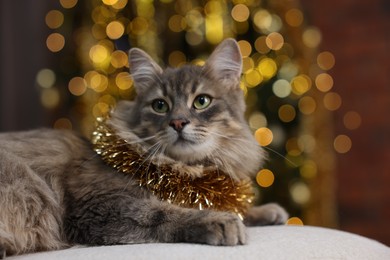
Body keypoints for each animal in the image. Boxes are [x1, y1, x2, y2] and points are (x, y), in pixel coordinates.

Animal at [0, 38, 286, 258]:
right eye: (160, 105)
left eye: (202, 101)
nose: (178, 122)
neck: (186, 171)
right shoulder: (100, 206)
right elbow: (164, 212)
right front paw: (219, 220)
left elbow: (231, 205)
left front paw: (267, 212)